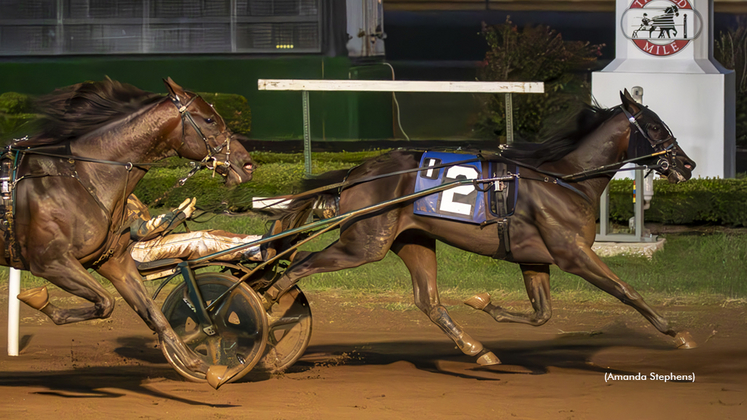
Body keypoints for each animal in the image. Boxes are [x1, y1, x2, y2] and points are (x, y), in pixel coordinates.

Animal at [2, 77, 258, 382]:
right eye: (209, 119)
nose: (248, 165)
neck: (81, 177)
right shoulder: (49, 261)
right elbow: (105, 303)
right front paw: (39, 300)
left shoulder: (114, 262)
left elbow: (152, 313)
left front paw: (198, 363)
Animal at [270, 90, 700, 366]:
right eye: (654, 126)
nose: (688, 164)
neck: (562, 179)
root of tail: (356, 173)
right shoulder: (573, 253)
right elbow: (626, 291)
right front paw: (677, 333)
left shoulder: (534, 259)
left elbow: (542, 314)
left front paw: (484, 304)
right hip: (365, 243)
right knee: (299, 264)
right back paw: (269, 311)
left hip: (412, 240)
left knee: (428, 301)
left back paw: (477, 349)